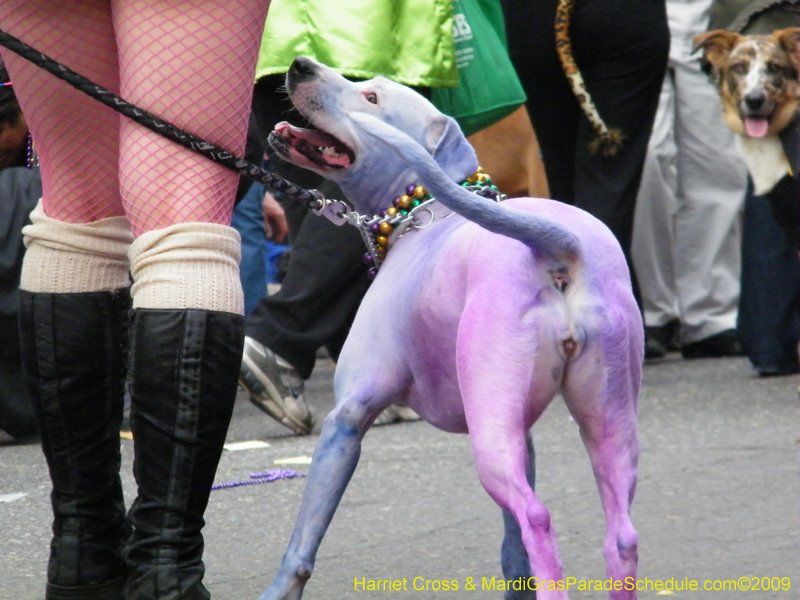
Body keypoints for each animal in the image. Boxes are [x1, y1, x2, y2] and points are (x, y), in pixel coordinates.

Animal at [260, 57, 648, 600]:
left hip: (492, 437)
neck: (423, 211)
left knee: (537, 516)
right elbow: (512, 549)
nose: (300, 64)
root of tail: (561, 247)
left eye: (371, 97)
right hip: (604, 419)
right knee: (619, 534)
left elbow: (303, 543)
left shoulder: (347, 420)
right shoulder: (521, 433)